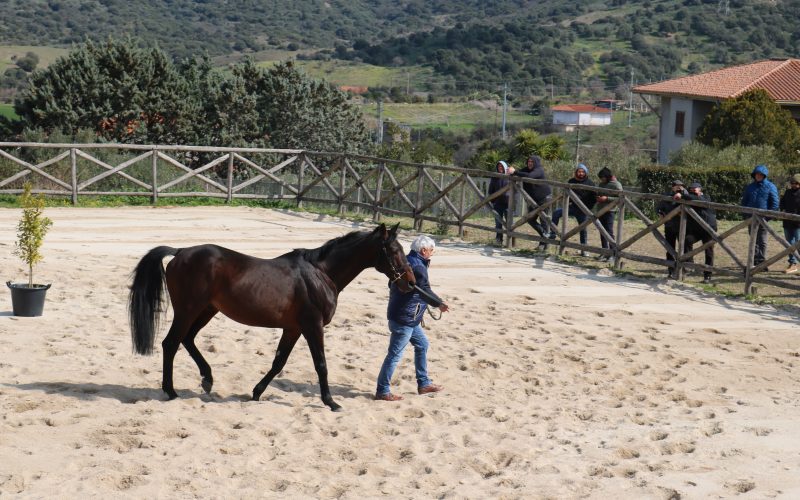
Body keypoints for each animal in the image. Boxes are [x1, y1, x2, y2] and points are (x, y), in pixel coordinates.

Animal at [128, 223, 416, 410]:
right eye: (393, 251)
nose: (411, 283)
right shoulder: (313, 326)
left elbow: (279, 362)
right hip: (188, 310)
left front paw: (256, 393)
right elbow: (321, 364)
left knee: (187, 340)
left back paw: (207, 379)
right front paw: (331, 402)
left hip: (207, 310)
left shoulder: (293, 329)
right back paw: (171, 391)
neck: (321, 273)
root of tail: (180, 252)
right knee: (171, 343)